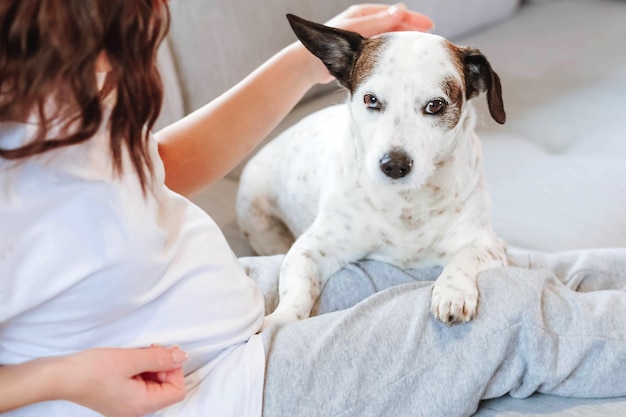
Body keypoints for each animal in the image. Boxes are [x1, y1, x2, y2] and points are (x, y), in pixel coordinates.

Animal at [236, 14, 504, 328]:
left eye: (435, 105)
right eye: (371, 100)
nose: (394, 165)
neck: (406, 204)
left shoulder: (489, 245)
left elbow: (465, 257)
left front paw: (453, 290)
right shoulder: (310, 249)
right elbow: (296, 293)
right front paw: (281, 318)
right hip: (265, 231)